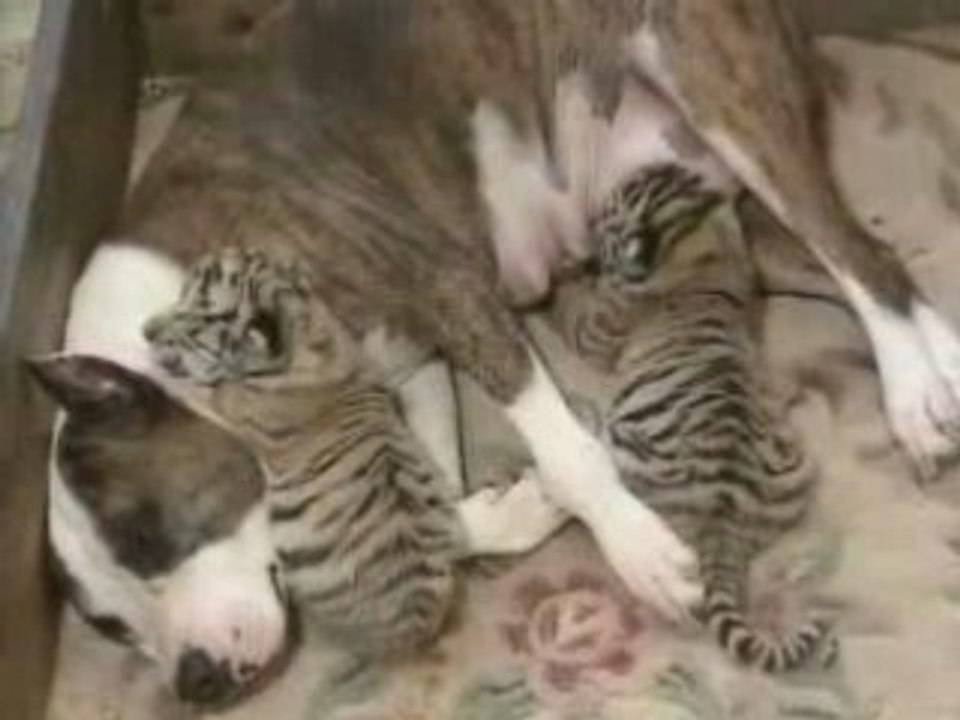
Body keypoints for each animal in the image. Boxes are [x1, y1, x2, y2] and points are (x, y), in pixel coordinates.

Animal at [145, 247, 567, 657]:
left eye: (198, 311)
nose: (147, 330)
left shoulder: (238, 402)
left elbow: (211, 392)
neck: (305, 326)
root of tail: (418, 619)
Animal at [546, 164, 835, 673]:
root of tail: (724, 516)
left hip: (622, 440)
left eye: (611, 209)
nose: (589, 217)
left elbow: (575, 308)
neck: (698, 243)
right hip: (798, 462)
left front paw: (566, 280)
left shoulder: (597, 329)